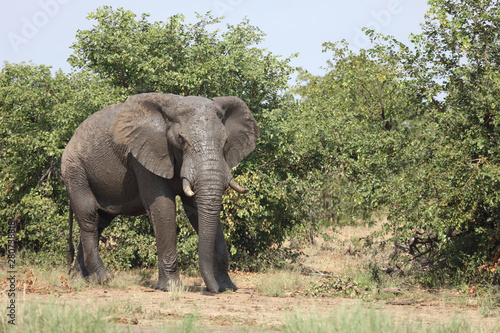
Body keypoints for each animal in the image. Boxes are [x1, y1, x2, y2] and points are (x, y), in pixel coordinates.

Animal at [60, 92, 260, 292]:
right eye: (181, 140)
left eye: (225, 141)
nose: (213, 290)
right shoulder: (142, 155)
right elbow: (163, 207)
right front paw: (171, 288)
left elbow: (196, 210)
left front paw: (228, 287)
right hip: (74, 169)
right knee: (89, 215)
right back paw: (104, 278)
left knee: (100, 221)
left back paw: (80, 280)